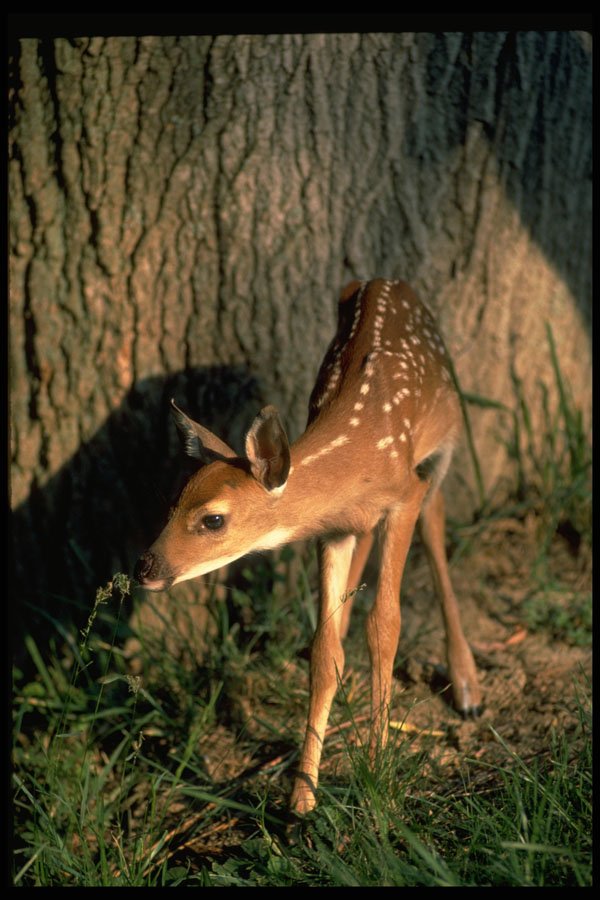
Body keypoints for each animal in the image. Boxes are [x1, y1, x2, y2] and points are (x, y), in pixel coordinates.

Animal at [134, 278, 482, 815]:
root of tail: (387, 281)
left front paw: (377, 779)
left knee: (437, 519)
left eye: (213, 519)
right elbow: (324, 647)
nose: (146, 566)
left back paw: (466, 686)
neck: (356, 455)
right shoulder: (330, 530)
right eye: (173, 503)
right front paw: (301, 797)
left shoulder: (403, 496)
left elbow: (386, 625)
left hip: (447, 432)